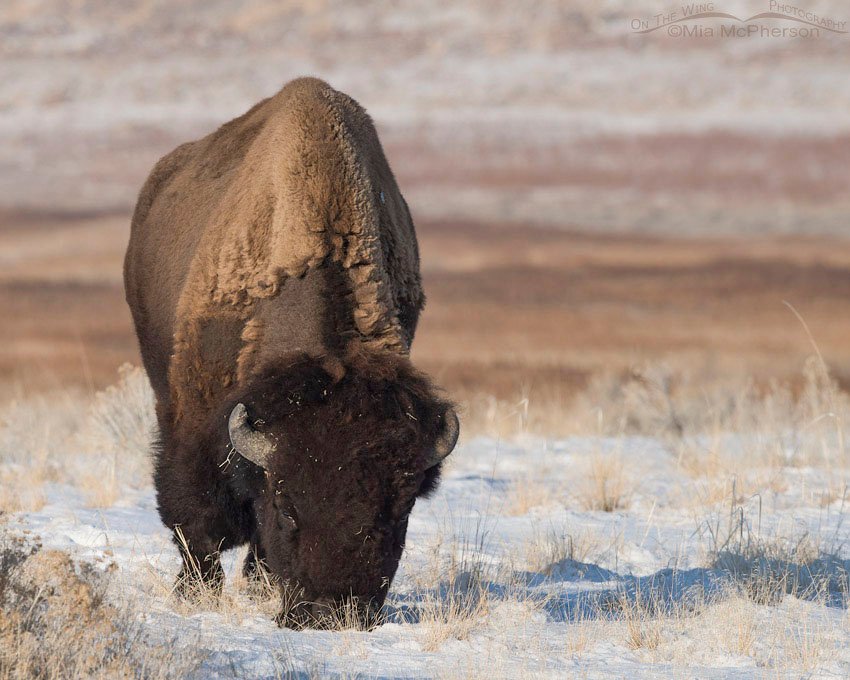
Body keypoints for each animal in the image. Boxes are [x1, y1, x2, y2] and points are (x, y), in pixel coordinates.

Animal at [123, 77, 459, 629]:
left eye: (401, 509)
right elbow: (196, 520)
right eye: (287, 505)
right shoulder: (195, 422)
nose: (331, 614)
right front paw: (194, 594)